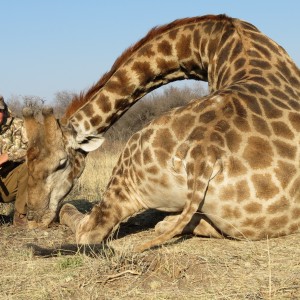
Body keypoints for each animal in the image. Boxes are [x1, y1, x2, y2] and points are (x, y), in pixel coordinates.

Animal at [24, 14, 300, 251]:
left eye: (61, 163)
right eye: (28, 162)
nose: (33, 217)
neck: (211, 43)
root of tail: (204, 158)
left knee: (92, 230)